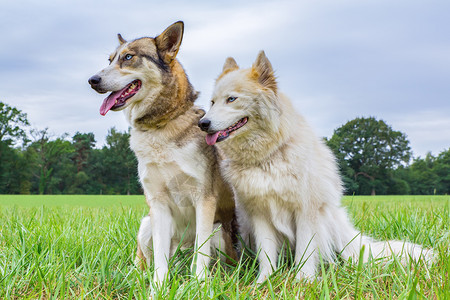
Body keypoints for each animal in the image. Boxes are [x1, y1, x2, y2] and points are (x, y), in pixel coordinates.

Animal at [87, 22, 236, 284]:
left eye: (128, 57)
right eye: (110, 59)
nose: (92, 80)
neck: (161, 126)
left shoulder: (204, 199)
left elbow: (201, 254)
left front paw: (198, 285)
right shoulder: (157, 203)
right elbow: (159, 258)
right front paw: (158, 286)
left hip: (218, 230)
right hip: (146, 224)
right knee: (144, 259)